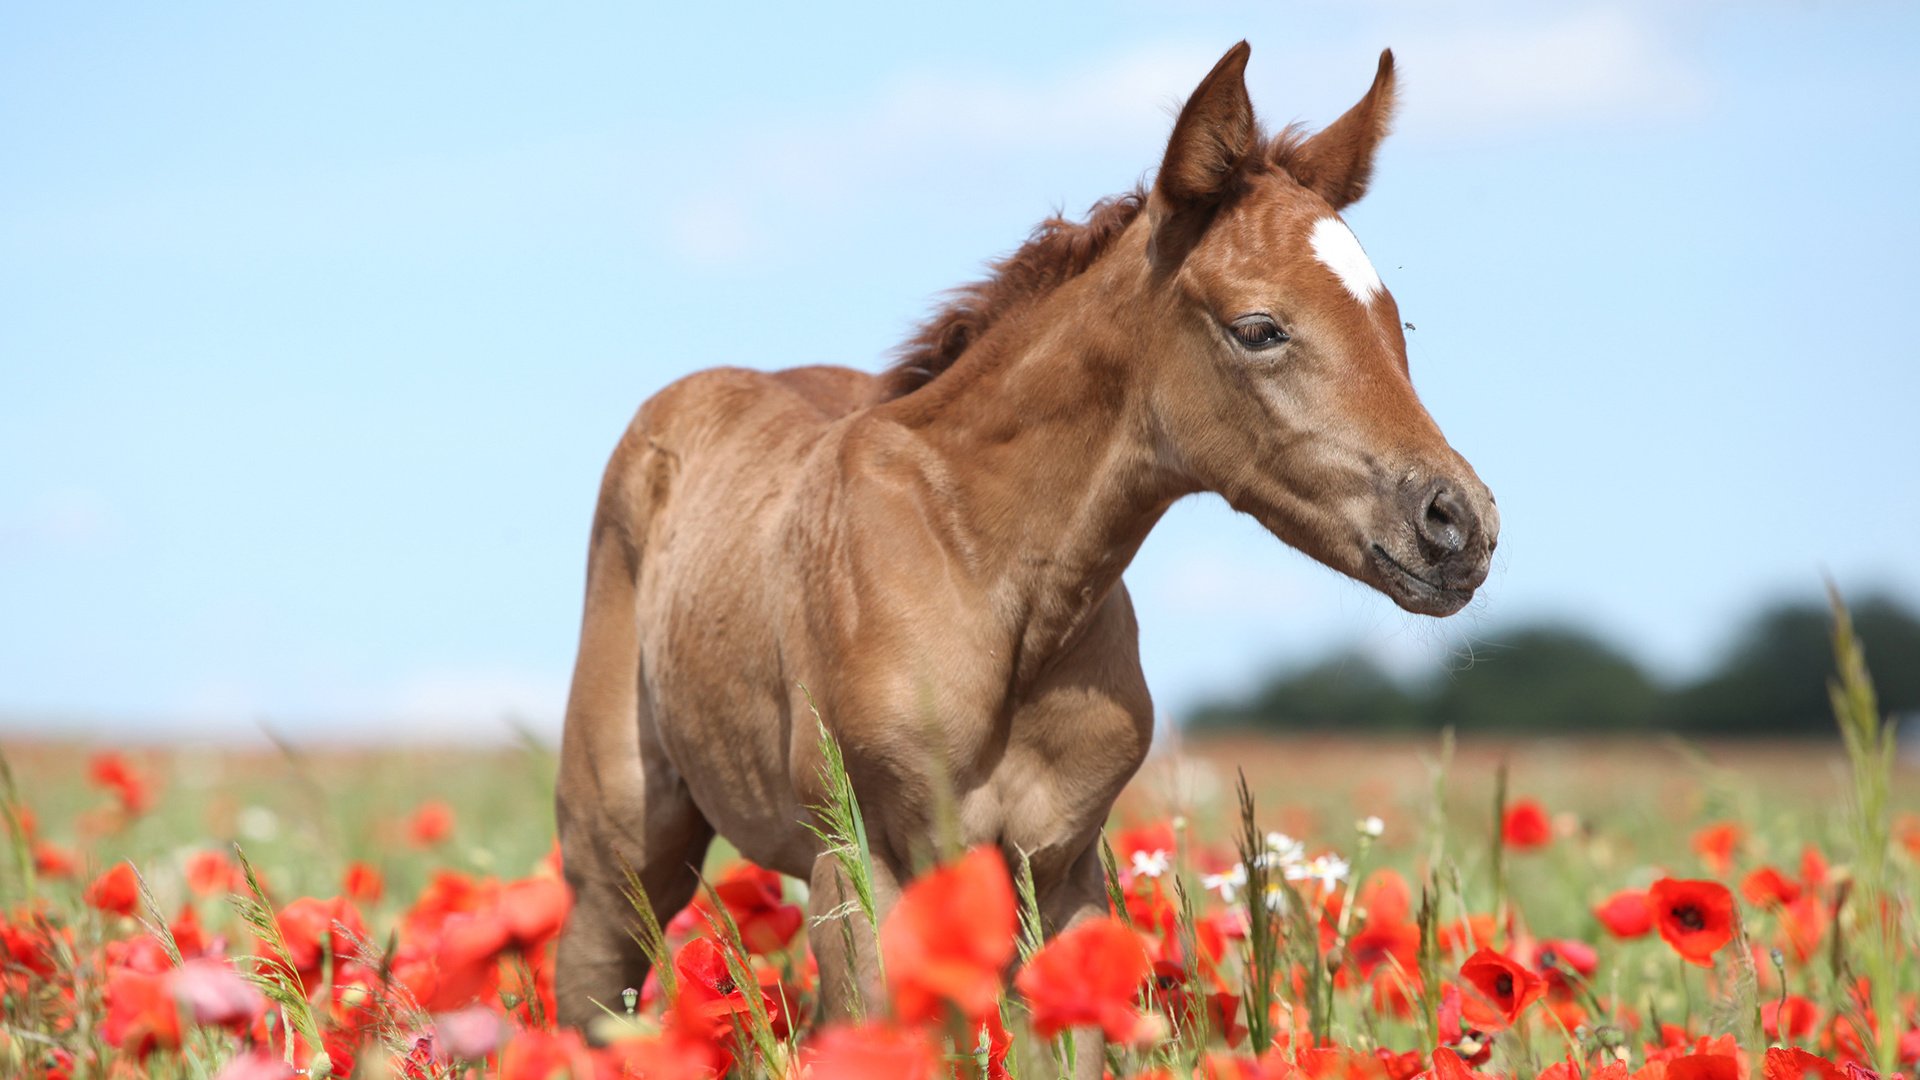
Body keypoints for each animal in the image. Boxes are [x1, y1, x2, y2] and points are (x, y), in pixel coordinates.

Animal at [556, 37, 1497, 1060]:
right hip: (621, 860)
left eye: (1394, 319)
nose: (1460, 525)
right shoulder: (862, 860)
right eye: (1259, 329)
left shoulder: (1061, 871)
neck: (988, 576)